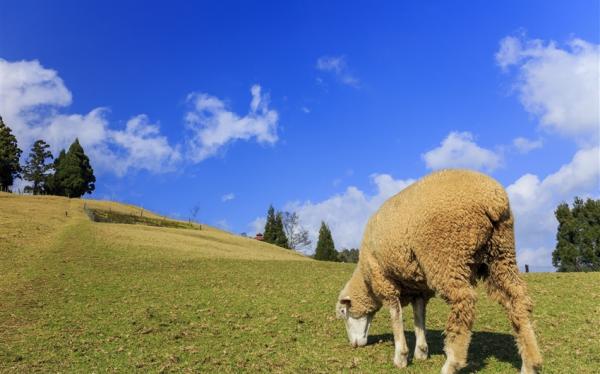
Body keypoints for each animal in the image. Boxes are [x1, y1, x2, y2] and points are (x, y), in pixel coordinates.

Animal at [336, 169, 540, 374]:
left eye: (343, 313)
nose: (354, 344)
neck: (365, 280)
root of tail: (493, 198)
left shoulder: (383, 278)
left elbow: (396, 315)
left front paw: (401, 356)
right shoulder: (418, 287)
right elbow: (419, 316)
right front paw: (421, 351)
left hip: (447, 253)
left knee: (463, 301)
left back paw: (452, 363)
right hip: (501, 254)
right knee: (517, 299)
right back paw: (529, 363)